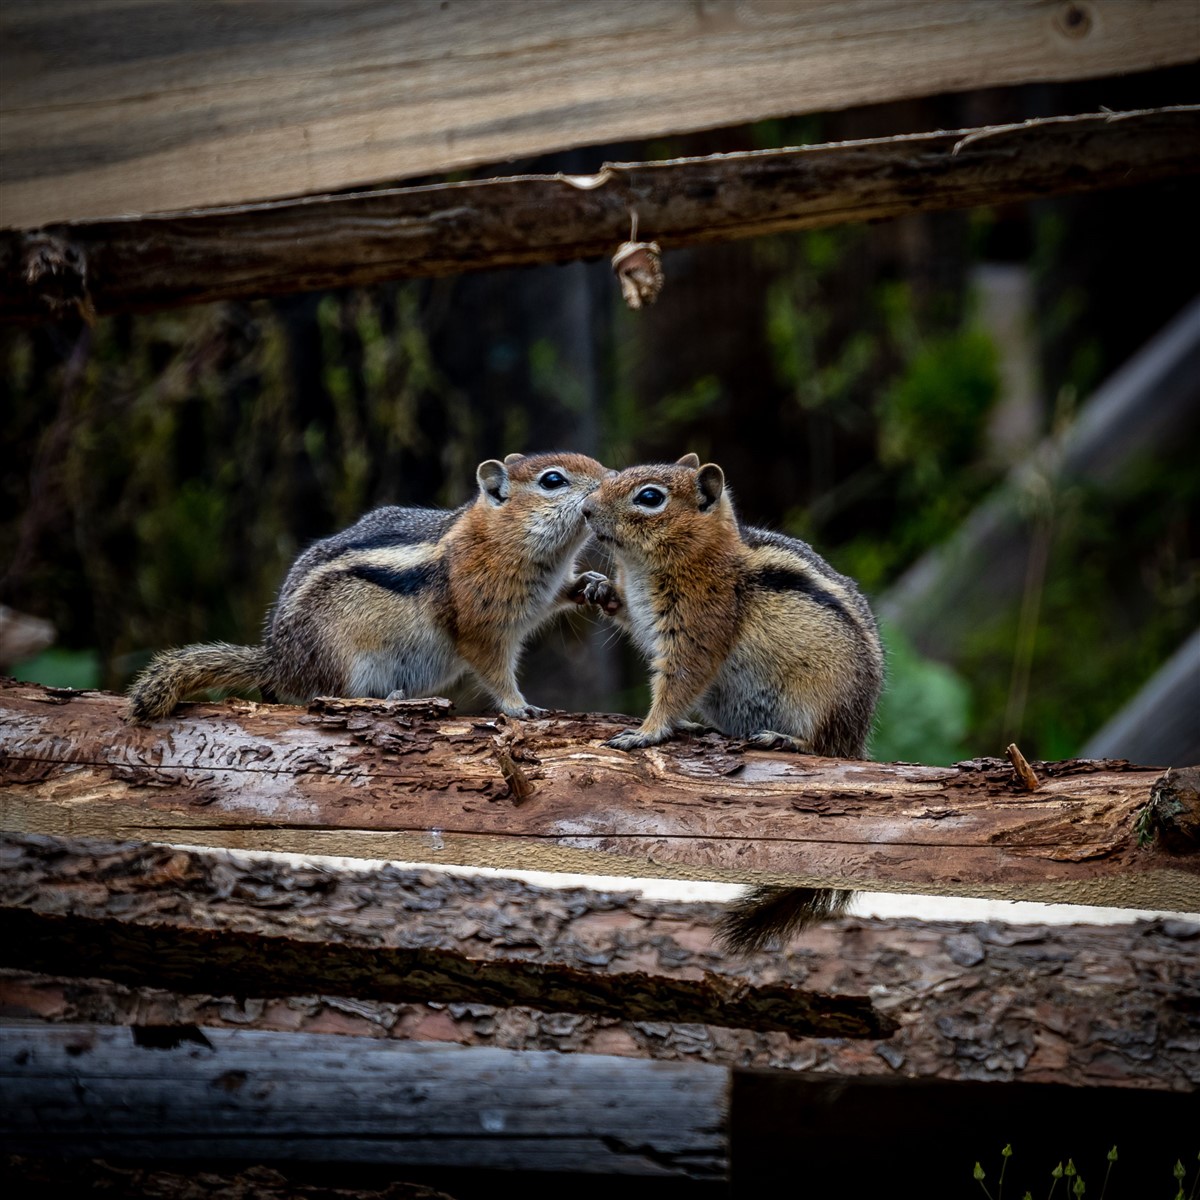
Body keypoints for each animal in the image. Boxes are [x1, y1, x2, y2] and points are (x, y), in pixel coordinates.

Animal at [129, 451, 609, 720]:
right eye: (553, 480)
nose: (611, 480)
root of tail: (278, 660)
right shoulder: (480, 624)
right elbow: (492, 668)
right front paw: (517, 706)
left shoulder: (541, 595)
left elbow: (562, 595)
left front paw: (592, 584)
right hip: (345, 659)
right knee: (328, 695)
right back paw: (390, 699)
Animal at [580, 453, 883, 950]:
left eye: (650, 497)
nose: (585, 510)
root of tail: (858, 735)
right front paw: (598, 587)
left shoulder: (698, 628)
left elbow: (678, 683)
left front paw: (645, 733)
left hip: (824, 702)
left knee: (825, 748)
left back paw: (785, 740)